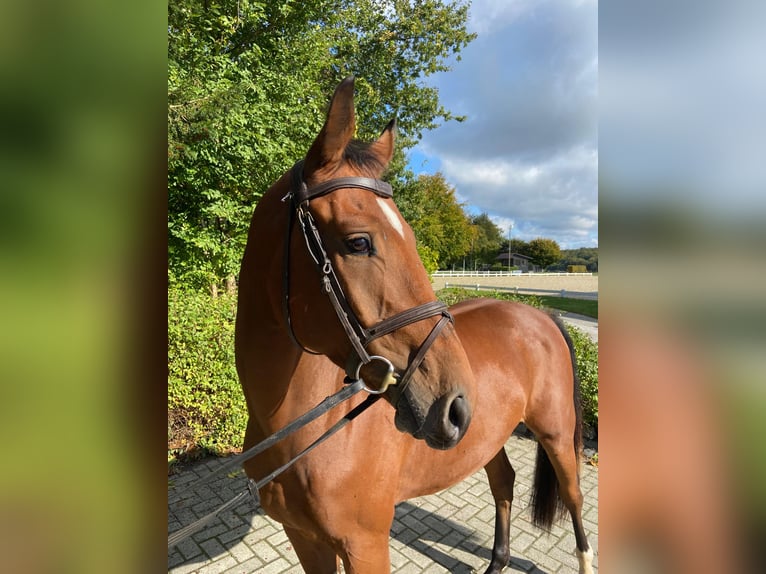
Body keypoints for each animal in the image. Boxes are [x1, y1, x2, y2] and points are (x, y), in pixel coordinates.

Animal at [237, 77, 596, 574]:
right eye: (358, 242)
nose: (455, 405)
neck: (298, 430)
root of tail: (540, 312)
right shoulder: (304, 539)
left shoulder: (365, 545)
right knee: (503, 481)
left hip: (557, 433)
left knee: (574, 496)